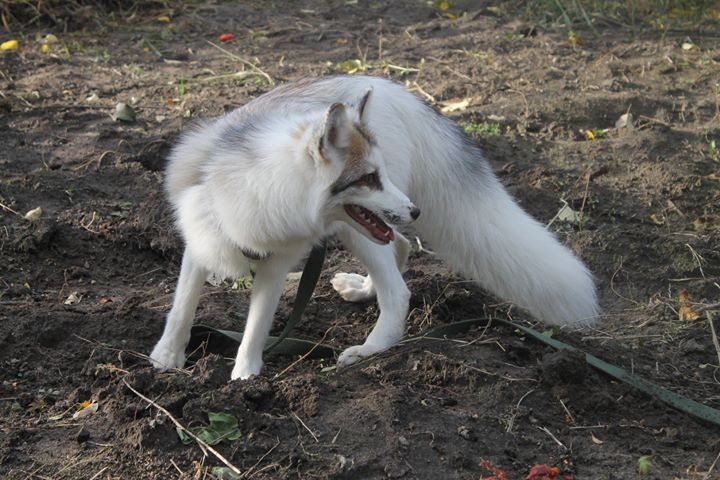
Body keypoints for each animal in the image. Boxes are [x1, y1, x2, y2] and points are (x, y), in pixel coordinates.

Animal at [149, 74, 600, 378]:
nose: (416, 211)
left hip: (359, 229)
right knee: (400, 246)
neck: (262, 188)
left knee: (398, 290)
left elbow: (256, 326)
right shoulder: (200, 240)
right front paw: (167, 358)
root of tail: (395, 89)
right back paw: (362, 289)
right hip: (366, 227)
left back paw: (370, 349)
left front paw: (245, 376)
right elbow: (182, 306)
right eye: (369, 178)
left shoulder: (277, 265)